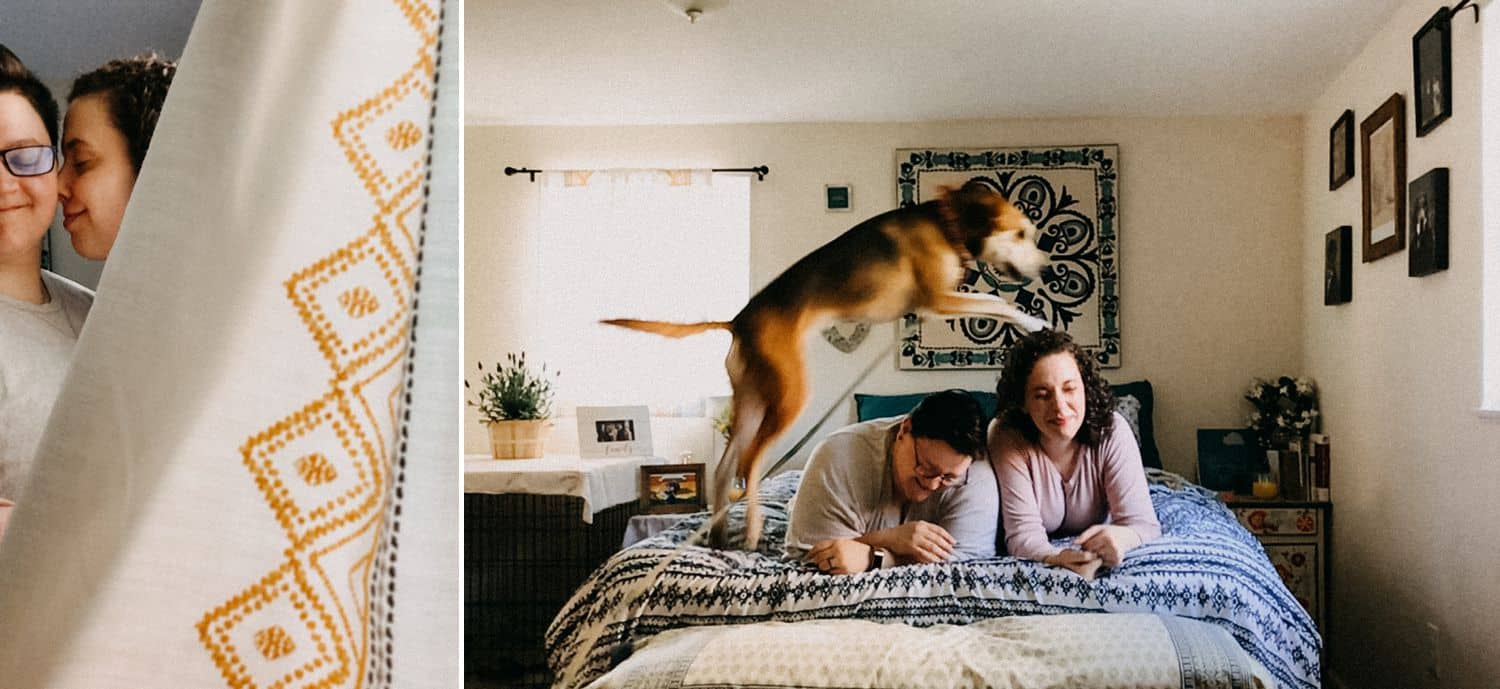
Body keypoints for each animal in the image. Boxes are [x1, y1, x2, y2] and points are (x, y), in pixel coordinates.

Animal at [603, 183, 1050, 549]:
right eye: (1020, 234)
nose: (1045, 267)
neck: (947, 224)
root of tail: (738, 322)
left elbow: (993, 302)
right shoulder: (939, 300)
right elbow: (996, 302)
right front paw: (1032, 322)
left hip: (751, 400)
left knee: (726, 468)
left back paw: (718, 533)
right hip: (790, 397)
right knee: (750, 465)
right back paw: (752, 530)